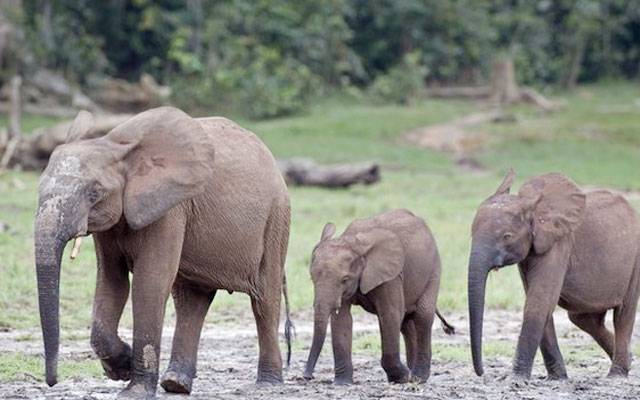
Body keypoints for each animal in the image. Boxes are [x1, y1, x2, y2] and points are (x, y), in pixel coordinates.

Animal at [34, 107, 292, 399]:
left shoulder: (170, 209)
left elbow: (150, 281)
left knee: (265, 299)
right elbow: (112, 281)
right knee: (191, 300)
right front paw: (121, 368)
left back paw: (268, 383)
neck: (115, 146)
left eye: (94, 193)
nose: (52, 382)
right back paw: (175, 384)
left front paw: (133, 391)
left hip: (276, 218)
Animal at [303, 209, 453, 384]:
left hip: (433, 269)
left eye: (345, 279)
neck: (353, 243)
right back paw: (412, 373)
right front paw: (342, 383)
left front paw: (401, 377)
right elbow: (342, 319)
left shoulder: (391, 276)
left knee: (422, 316)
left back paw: (417, 377)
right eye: (312, 278)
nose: (307, 376)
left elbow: (390, 313)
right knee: (406, 322)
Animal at [468, 170, 640, 380]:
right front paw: (557, 378)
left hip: (635, 261)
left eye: (506, 236)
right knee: (583, 319)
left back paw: (617, 374)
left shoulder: (559, 243)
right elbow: (542, 302)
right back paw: (630, 360)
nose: (482, 372)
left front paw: (516, 378)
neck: (534, 208)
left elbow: (539, 301)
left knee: (623, 314)